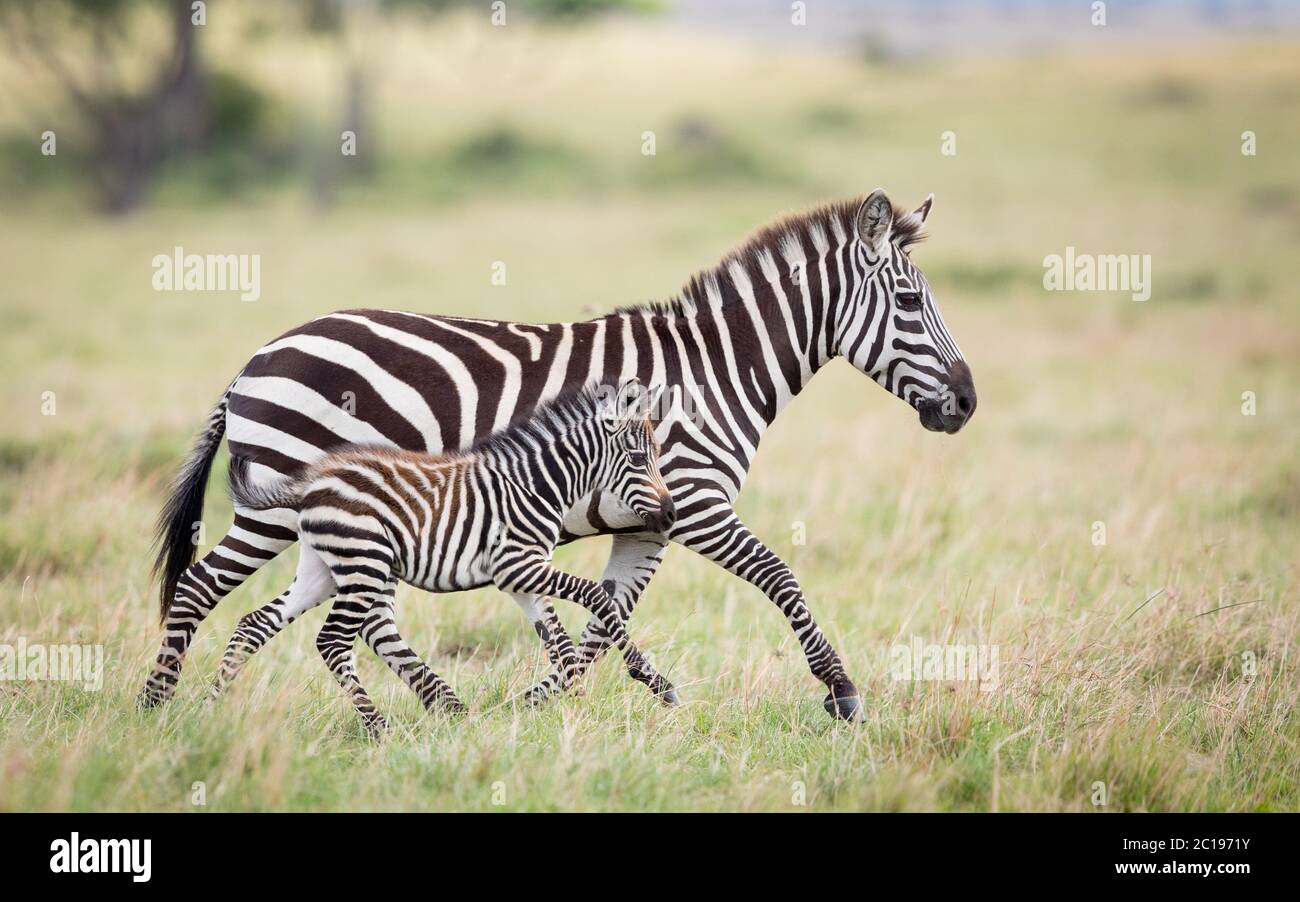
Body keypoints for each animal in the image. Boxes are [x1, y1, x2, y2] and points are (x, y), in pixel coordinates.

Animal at [208, 382, 676, 733]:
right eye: (639, 458)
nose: (670, 514)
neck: (537, 485)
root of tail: (312, 483)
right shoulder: (517, 563)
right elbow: (596, 597)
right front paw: (652, 682)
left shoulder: (519, 577)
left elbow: (558, 641)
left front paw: (564, 702)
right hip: (364, 564)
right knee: (333, 642)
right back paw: (379, 730)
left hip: (321, 570)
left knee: (255, 624)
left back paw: (211, 708)